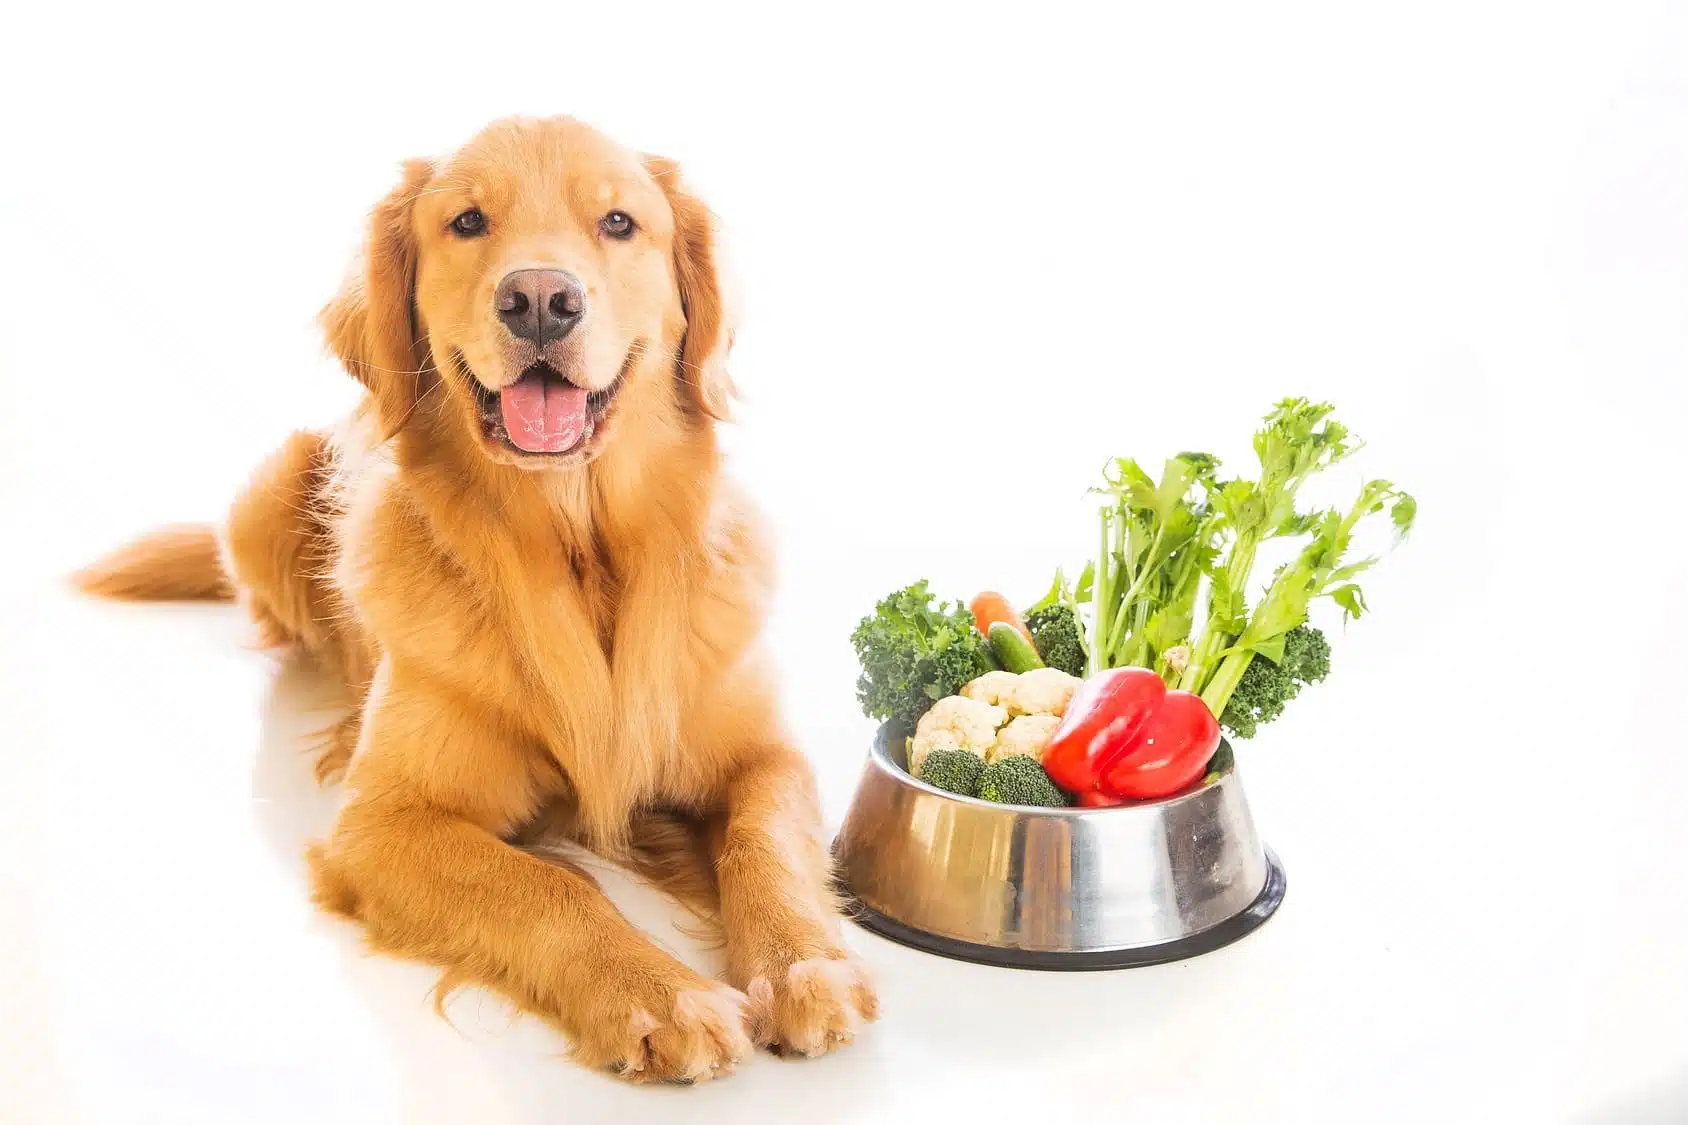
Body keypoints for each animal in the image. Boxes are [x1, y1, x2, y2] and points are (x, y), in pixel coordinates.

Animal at [74, 114, 877, 1081]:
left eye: (618, 221)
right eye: (466, 222)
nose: (539, 299)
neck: (578, 548)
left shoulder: (764, 753)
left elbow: (770, 844)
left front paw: (807, 967)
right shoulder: (383, 824)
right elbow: (545, 883)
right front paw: (658, 993)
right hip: (267, 492)